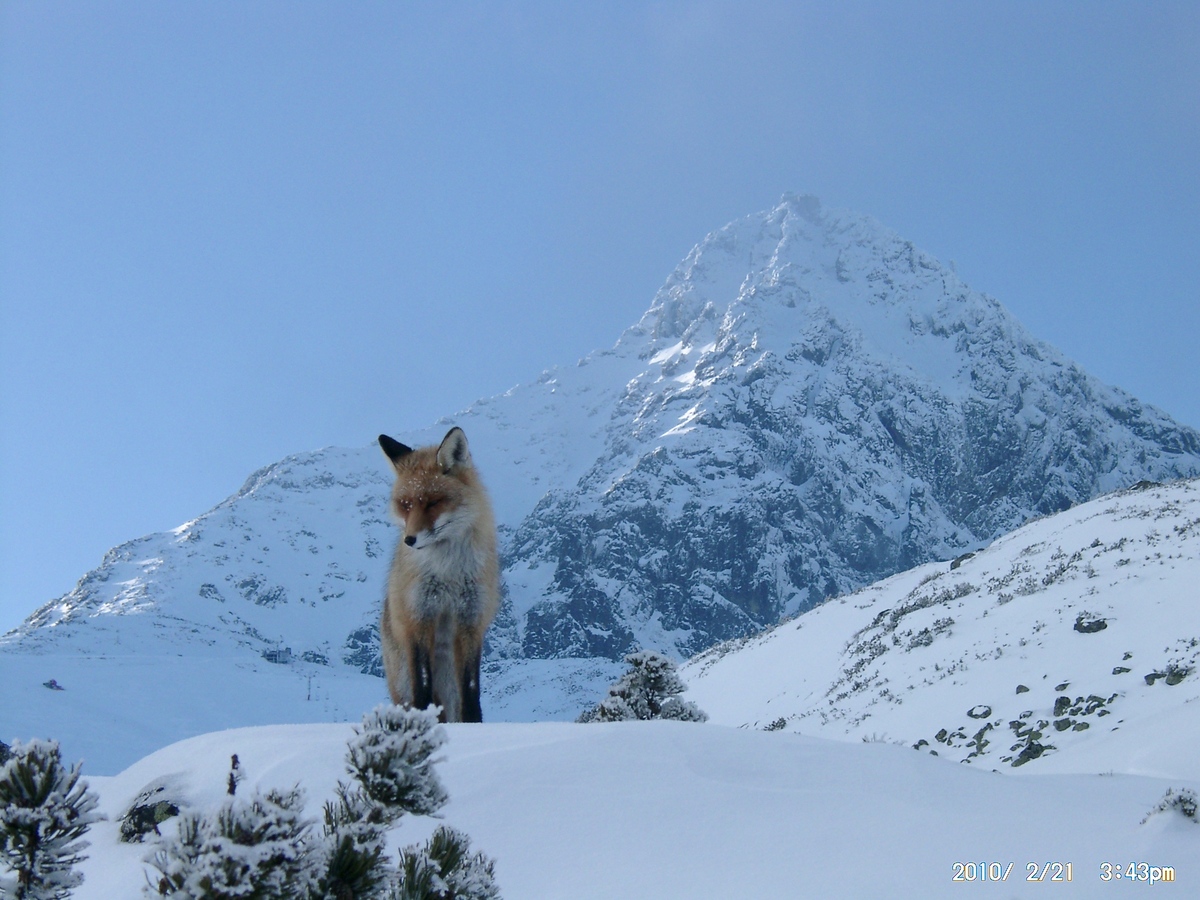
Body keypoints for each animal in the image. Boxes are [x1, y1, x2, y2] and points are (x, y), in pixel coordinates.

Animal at [377, 426, 499, 723]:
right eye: (405, 505)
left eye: (433, 502)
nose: (409, 540)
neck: (448, 573)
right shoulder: (418, 618)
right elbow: (422, 684)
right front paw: (421, 719)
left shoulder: (471, 620)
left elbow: (471, 688)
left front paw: (476, 726)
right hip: (401, 679)